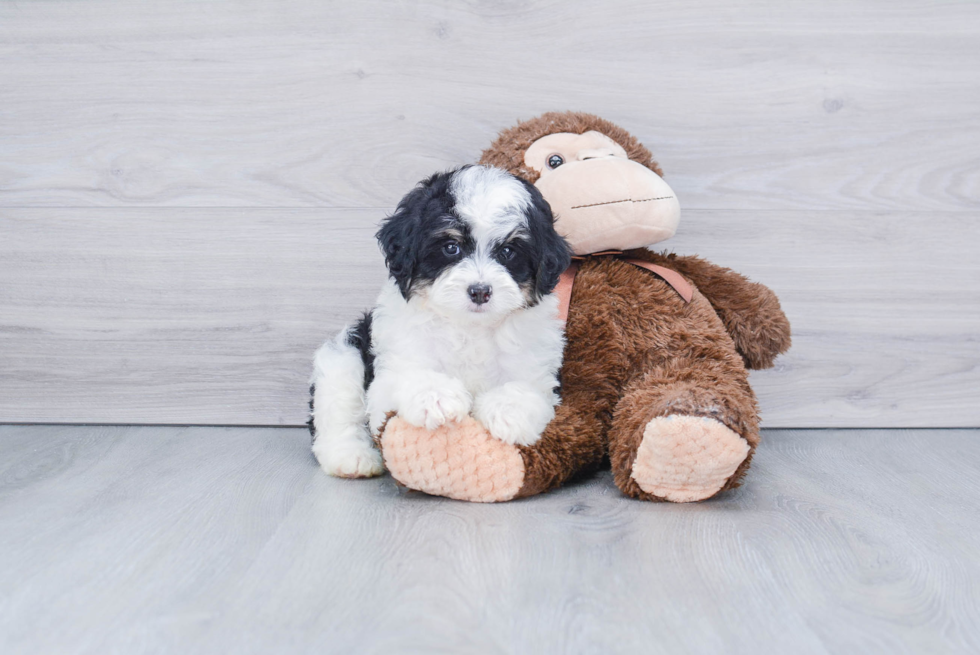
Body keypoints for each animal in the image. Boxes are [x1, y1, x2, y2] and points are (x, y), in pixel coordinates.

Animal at [310, 167, 572, 480]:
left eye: (508, 252)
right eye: (451, 247)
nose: (480, 291)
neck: (469, 327)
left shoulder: (537, 367)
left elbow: (527, 389)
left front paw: (507, 411)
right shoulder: (394, 359)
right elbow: (406, 377)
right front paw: (435, 396)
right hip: (344, 353)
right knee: (338, 403)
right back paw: (352, 456)